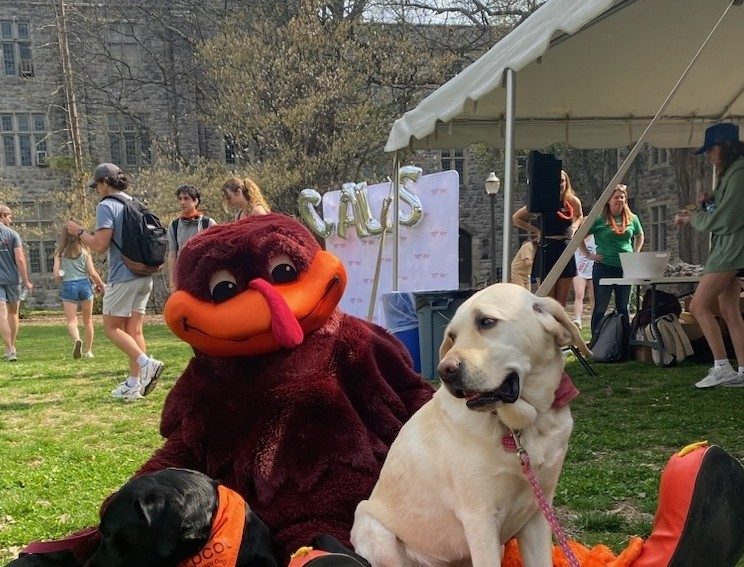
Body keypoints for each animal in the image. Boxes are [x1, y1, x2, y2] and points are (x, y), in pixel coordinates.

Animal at [352, 284, 588, 567]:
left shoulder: (538, 514)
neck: (523, 428)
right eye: (452, 336)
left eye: (486, 322)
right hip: (374, 529)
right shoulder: (480, 519)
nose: (444, 371)